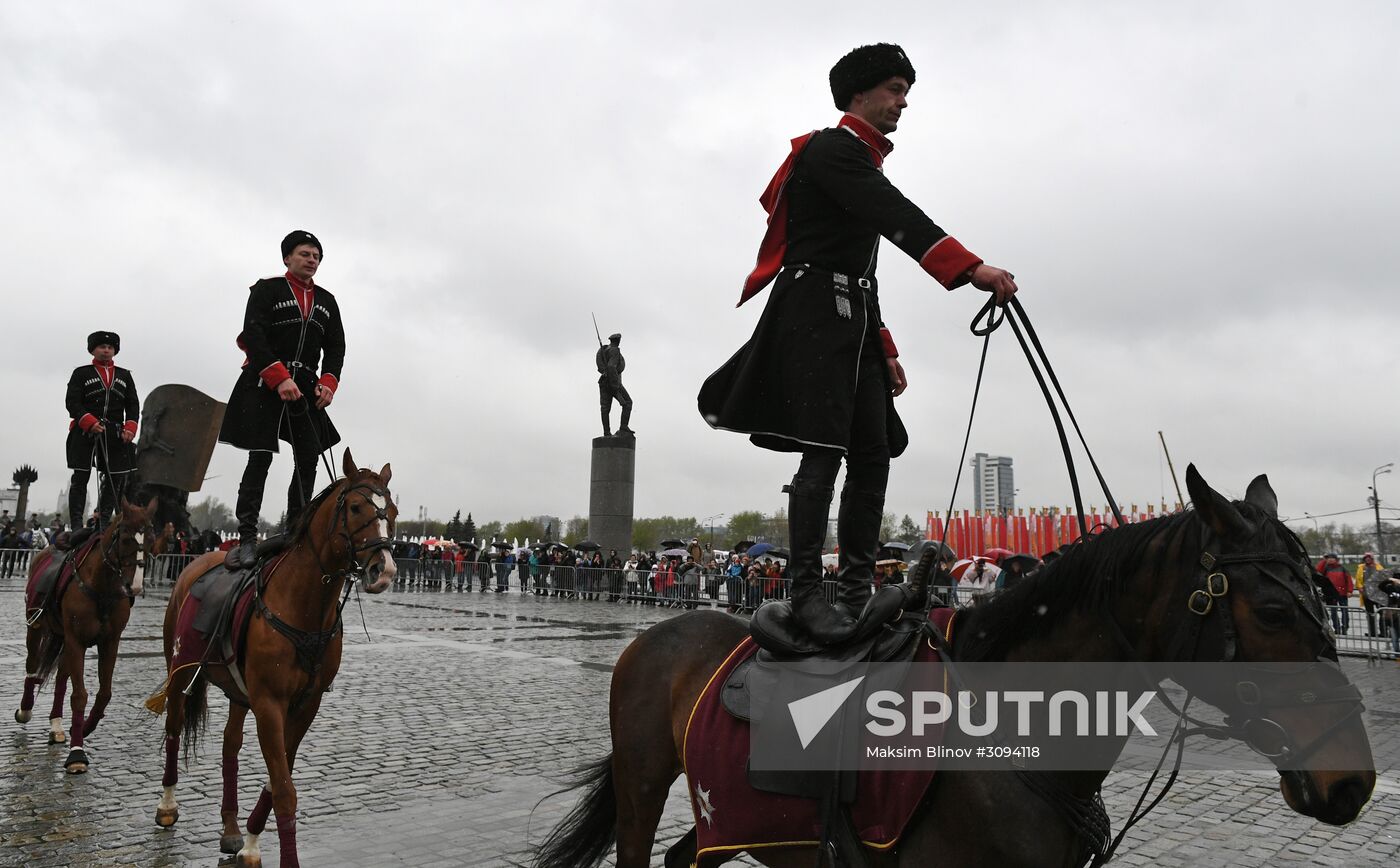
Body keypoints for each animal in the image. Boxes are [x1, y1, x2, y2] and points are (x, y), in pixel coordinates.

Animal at [14, 495, 158, 772]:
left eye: (151, 539)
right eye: (125, 538)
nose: (134, 586)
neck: (102, 588)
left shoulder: (110, 642)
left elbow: (104, 693)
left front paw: (85, 727)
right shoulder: (76, 641)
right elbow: (79, 695)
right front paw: (77, 754)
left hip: (62, 638)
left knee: (61, 678)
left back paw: (57, 725)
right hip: (37, 628)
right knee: (32, 665)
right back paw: (25, 710)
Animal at [145, 453, 397, 868]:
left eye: (391, 511)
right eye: (357, 508)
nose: (385, 570)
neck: (306, 608)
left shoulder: (306, 704)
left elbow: (278, 776)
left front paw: (249, 840)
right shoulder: (269, 703)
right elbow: (284, 789)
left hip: (236, 690)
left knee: (230, 745)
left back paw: (230, 827)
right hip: (180, 670)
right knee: (174, 727)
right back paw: (167, 804)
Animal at [534, 467, 1377, 868]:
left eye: (1316, 596)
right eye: (1273, 612)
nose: (1354, 781)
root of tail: (660, 634)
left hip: (731, 819)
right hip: (645, 785)